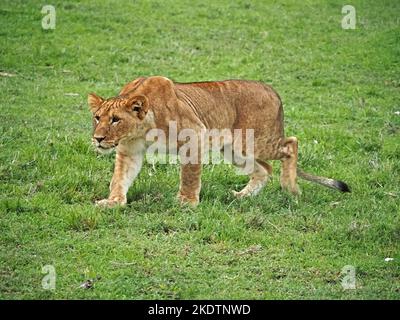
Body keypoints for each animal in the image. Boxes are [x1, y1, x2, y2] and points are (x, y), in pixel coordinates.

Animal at [88, 77, 350, 208]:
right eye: (98, 117)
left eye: (116, 119)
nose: (98, 138)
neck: (142, 129)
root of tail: (273, 91)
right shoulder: (128, 151)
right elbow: (119, 178)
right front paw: (113, 202)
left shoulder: (195, 135)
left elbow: (190, 175)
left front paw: (186, 202)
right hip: (234, 149)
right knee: (265, 169)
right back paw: (242, 197)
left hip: (255, 141)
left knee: (291, 144)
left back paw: (291, 187)